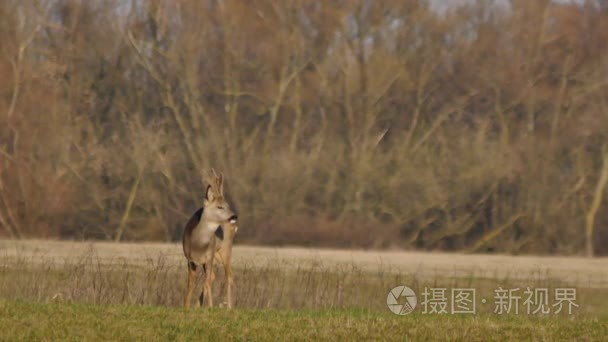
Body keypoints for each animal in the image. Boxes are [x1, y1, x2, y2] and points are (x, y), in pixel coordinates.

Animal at [180, 170, 238, 308]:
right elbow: (191, 284)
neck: (197, 244)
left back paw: (228, 307)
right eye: (219, 206)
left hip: (225, 248)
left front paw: (210, 306)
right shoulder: (190, 259)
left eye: (227, 205)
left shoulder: (209, 256)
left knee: (228, 276)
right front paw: (186, 306)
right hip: (216, 254)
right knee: (214, 276)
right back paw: (198, 305)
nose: (234, 216)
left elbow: (206, 282)